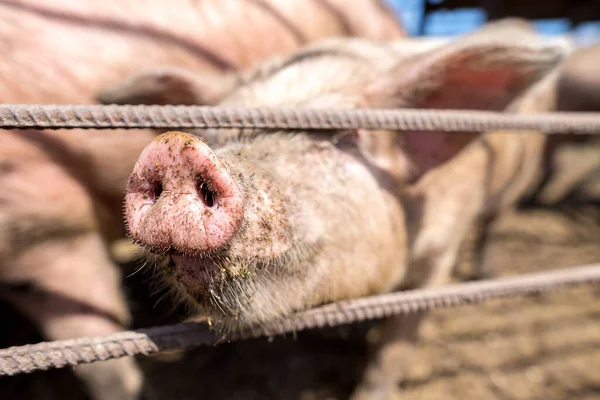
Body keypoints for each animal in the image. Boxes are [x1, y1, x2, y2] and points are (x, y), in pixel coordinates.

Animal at [122, 25, 568, 396]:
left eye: (342, 135)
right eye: (215, 132)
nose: (174, 150)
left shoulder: (439, 257)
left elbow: (393, 352)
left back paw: (485, 273)